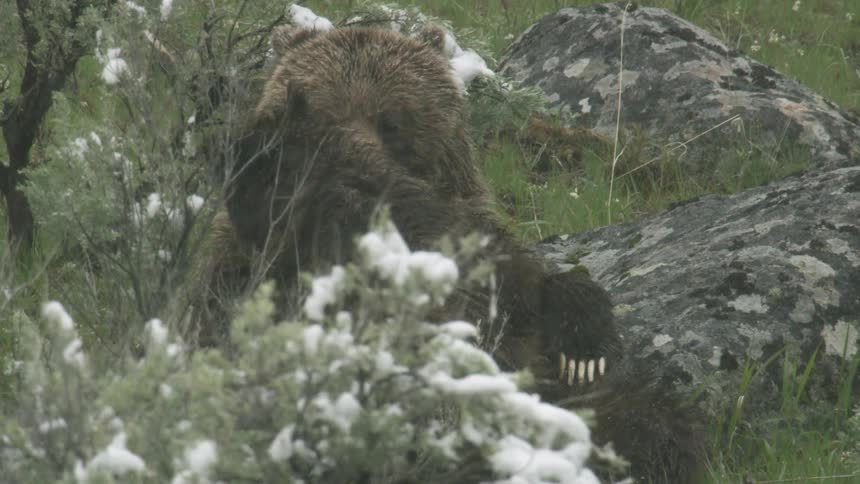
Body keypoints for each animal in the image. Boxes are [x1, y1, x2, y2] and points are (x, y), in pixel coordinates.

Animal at [206, 24, 703, 483]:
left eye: (392, 120)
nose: (359, 159)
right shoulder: (253, 268)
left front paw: (583, 344)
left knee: (640, 417)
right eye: (323, 113)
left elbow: (516, 280)